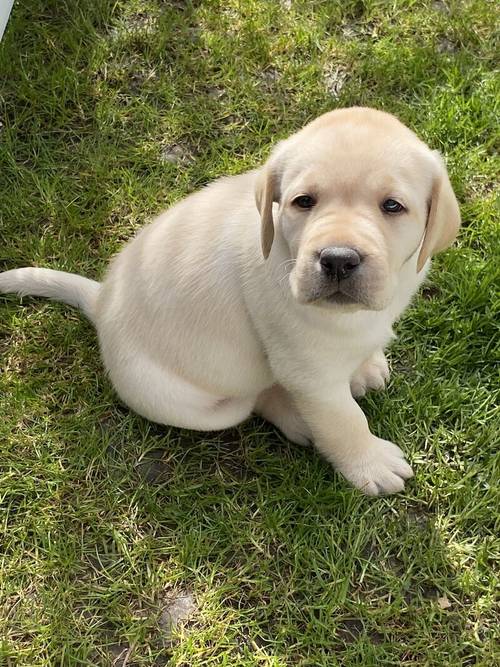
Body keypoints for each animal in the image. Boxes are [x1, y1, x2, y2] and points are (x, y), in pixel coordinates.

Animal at [0, 108, 460, 496]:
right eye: (303, 202)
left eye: (392, 206)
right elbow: (344, 420)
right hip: (191, 401)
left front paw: (365, 364)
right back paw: (296, 418)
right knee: (256, 399)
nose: (337, 259)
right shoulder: (310, 373)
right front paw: (370, 463)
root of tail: (101, 302)